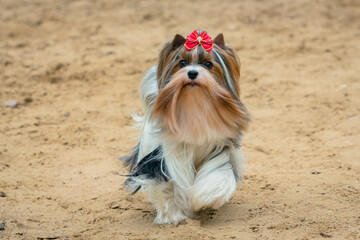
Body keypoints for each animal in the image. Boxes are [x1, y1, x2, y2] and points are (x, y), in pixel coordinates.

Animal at [122, 30, 249, 225]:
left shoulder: (221, 146)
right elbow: (167, 185)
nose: (192, 72)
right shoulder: (164, 157)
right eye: (182, 63)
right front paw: (171, 216)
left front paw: (204, 197)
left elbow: (217, 171)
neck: (193, 103)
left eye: (208, 64)